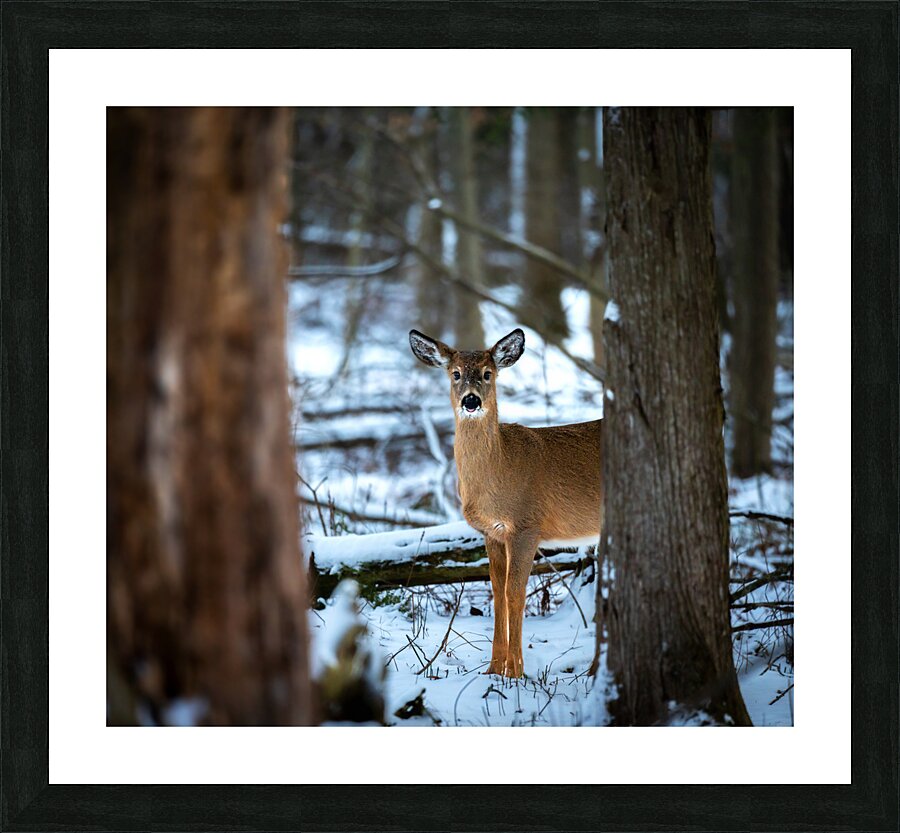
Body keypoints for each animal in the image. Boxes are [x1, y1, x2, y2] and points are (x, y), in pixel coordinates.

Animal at [409, 327, 603, 678]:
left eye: (488, 373)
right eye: (455, 373)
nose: (471, 400)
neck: (498, 473)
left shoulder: (526, 526)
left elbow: (515, 593)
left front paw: (515, 672)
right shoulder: (491, 532)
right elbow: (497, 591)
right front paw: (493, 669)